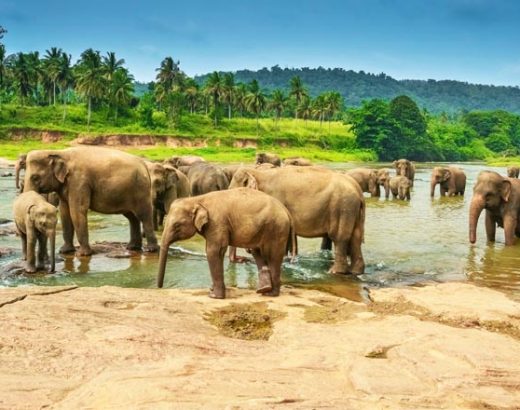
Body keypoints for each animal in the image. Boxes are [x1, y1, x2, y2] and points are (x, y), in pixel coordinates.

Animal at [23, 147, 158, 256]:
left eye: (35, 177)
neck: (59, 152)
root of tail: (145, 165)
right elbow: (65, 212)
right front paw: (64, 251)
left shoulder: (79, 181)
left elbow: (77, 211)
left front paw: (82, 254)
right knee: (132, 217)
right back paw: (132, 247)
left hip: (140, 189)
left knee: (143, 215)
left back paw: (151, 250)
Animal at [156, 188, 294, 298]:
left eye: (176, 225)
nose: (159, 287)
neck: (197, 199)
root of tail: (286, 211)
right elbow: (219, 253)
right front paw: (213, 290)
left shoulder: (216, 222)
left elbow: (213, 251)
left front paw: (214, 296)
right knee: (257, 251)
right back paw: (263, 289)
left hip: (276, 229)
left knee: (272, 255)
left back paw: (270, 293)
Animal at [228, 165, 366, 274]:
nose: (242, 259)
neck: (259, 173)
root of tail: (358, 190)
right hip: (352, 211)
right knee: (356, 237)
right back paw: (356, 272)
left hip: (342, 207)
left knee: (340, 238)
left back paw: (334, 272)